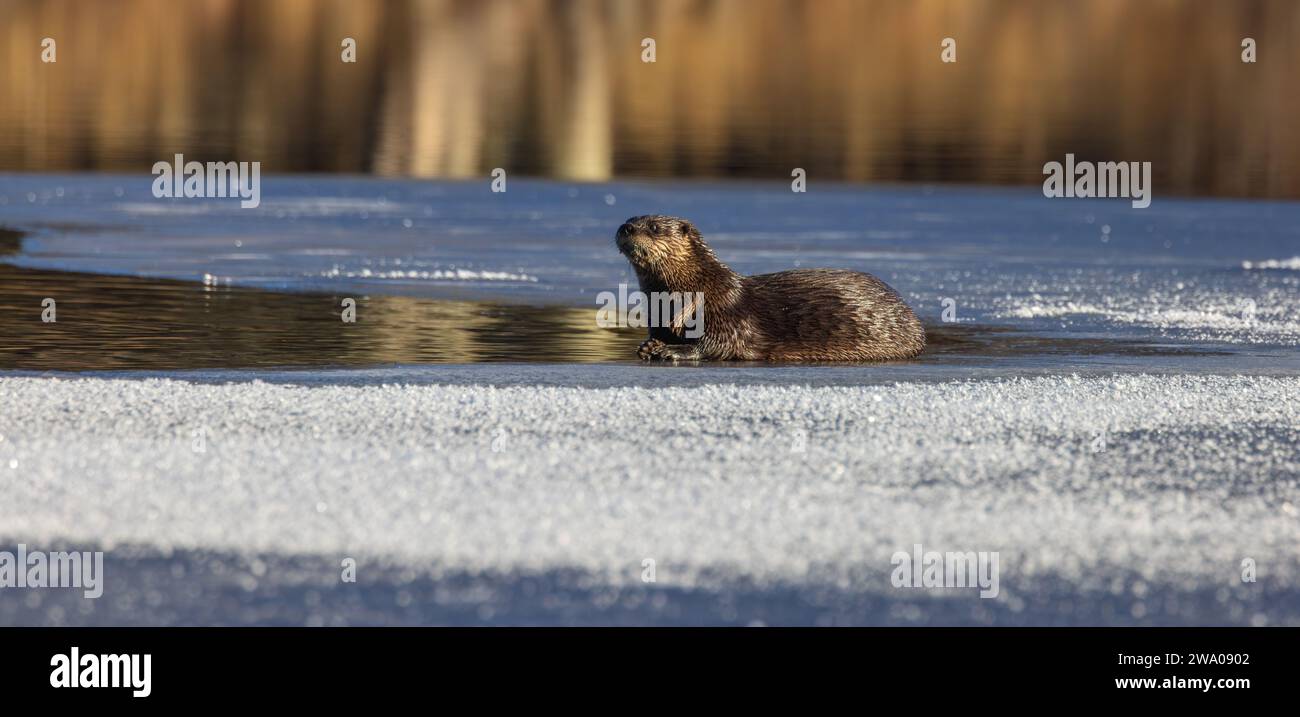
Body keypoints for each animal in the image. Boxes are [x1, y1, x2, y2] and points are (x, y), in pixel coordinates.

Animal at [616, 211, 925, 358]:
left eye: (654, 227)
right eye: (628, 221)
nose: (626, 228)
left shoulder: (726, 313)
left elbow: (718, 344)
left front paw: (672, 351)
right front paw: (649, 345)